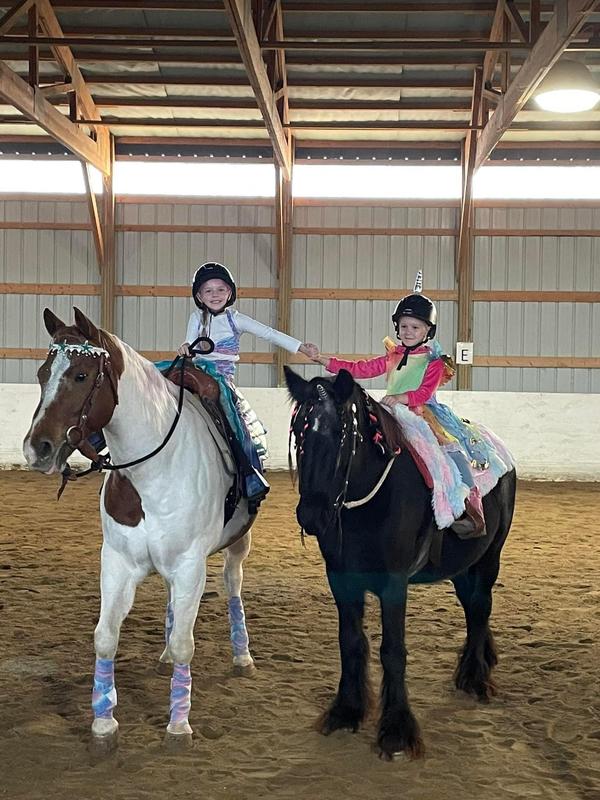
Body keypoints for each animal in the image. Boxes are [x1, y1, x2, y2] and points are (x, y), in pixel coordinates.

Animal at [23, 307, 257, 755]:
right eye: (43, 373)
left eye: (81, 375)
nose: (36, 449)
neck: (153, 470)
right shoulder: (116, 562)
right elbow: (105, 637)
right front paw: (103, 723)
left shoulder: (190, 566)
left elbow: (186, 644)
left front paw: (178, 726)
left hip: (238, 544)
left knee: (233, 584)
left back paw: (242, 656)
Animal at [284, 366, 516, 760]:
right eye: (299, 431)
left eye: (339, 433)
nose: (311, 514)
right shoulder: (341, 579)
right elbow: (350, 642)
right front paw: (346, 710)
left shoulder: (393, 584)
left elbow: (392, 651)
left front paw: (396, 731)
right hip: (461, 569)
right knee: (473, 611)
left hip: (489, 558)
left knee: (482, 607)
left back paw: (475, 677)